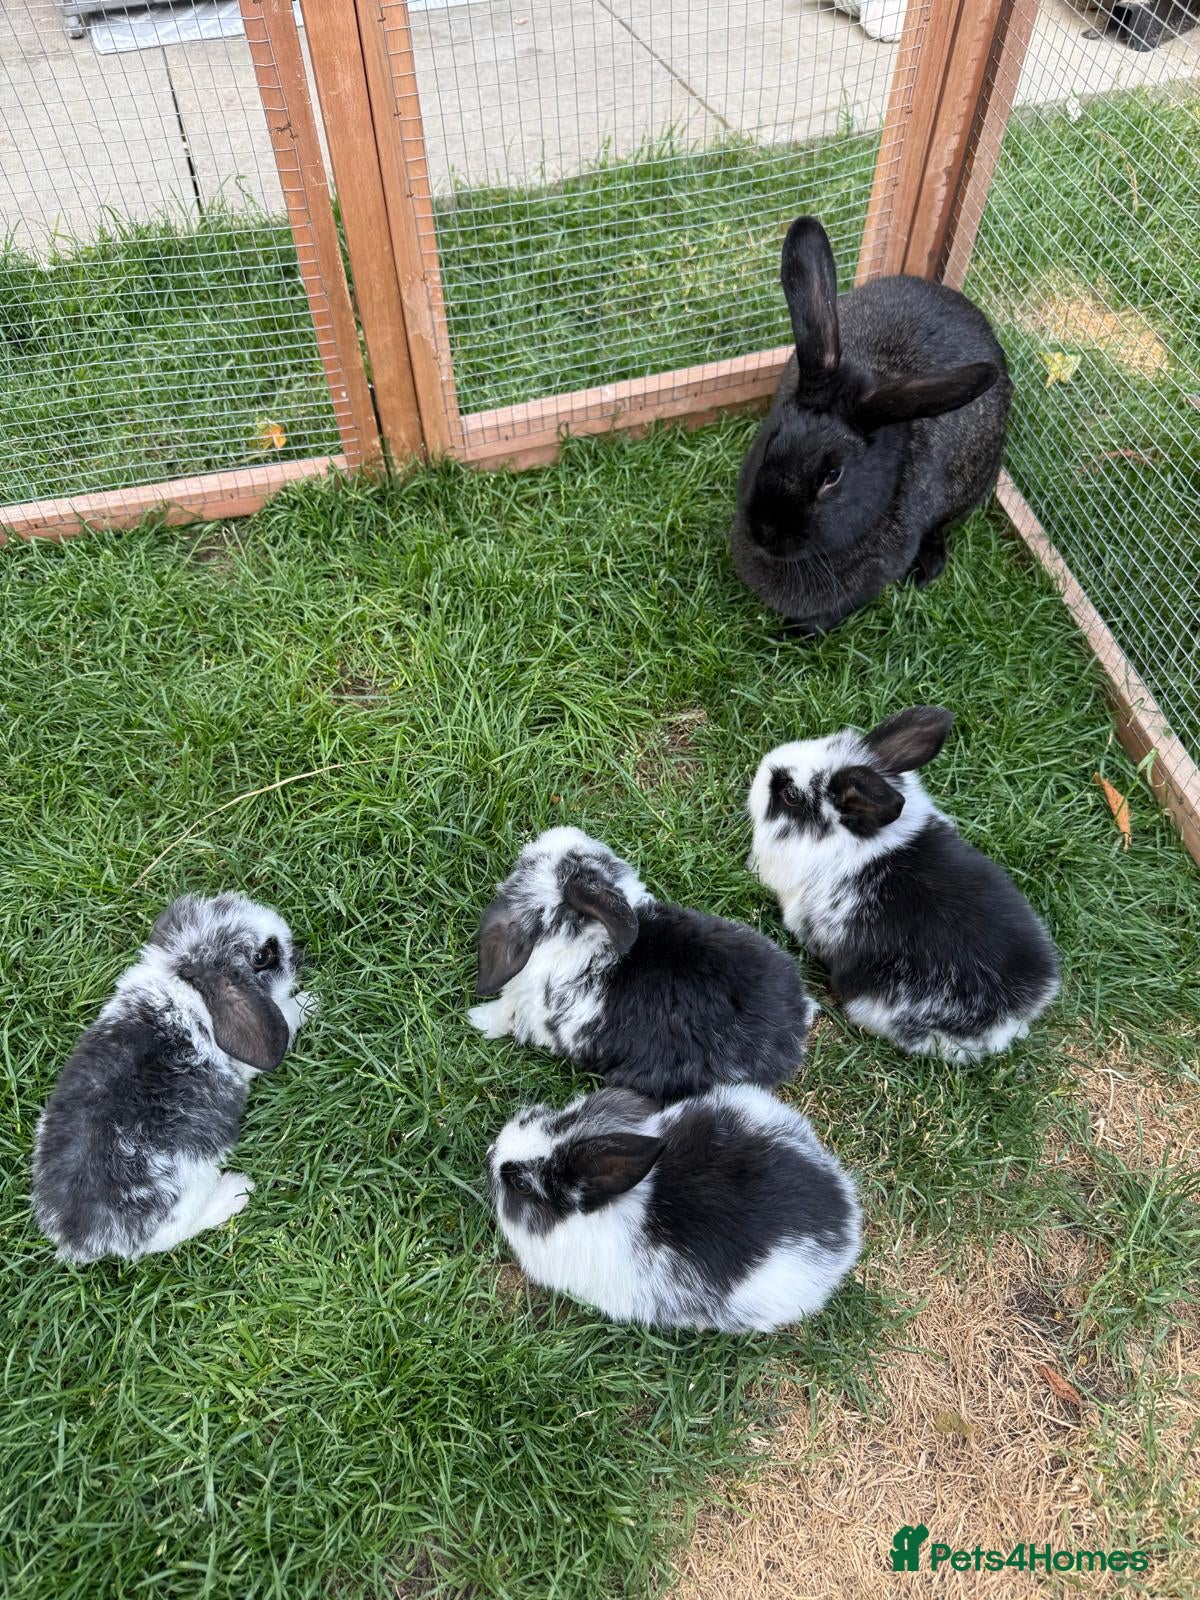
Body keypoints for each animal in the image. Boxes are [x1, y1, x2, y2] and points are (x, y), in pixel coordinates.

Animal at [32, 893, 311, 1264]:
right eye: (262, 956)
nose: (299, 952)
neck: (188, 985)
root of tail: (82, 1237)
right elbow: (289, 1015)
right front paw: (309, 1002)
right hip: (187, 1192)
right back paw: (237, 1189)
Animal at [468, 825, 816, 1101]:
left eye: (537, 863)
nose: (553, 834)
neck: (580, 936)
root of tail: (794, 1030)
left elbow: (508, 1011)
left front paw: (477, 1019)